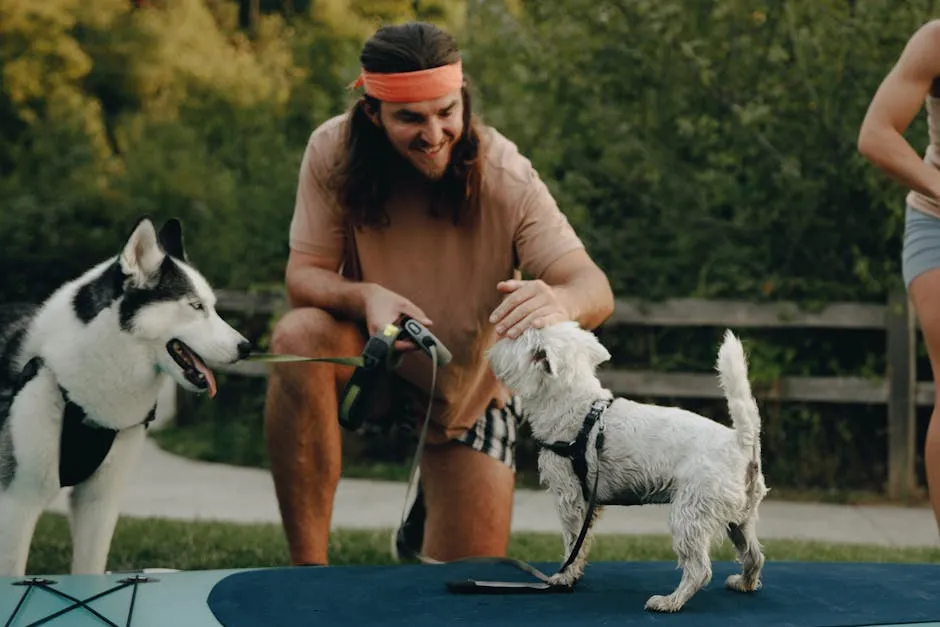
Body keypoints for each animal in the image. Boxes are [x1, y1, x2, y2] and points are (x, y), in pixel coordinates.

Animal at [488, 324, 768, 612]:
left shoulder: (569, 496)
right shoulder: (589, 502)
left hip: (690, 514)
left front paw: (564, 577)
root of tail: (742, 441)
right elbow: (581, 542)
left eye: (517, 335)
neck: (577, 407)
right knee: (753, 556)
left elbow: (572, 542)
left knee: (700, 569)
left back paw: (668, 601)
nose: (495, 338)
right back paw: (743, 583)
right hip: (740, 519)